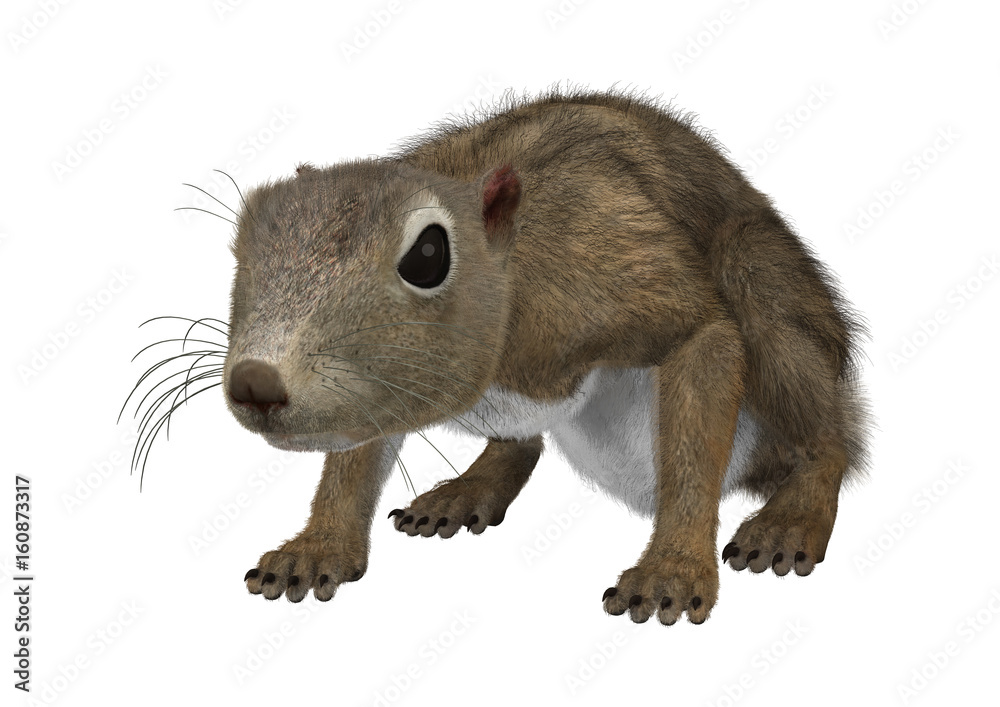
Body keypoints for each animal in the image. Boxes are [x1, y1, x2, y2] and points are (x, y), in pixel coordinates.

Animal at [218, 87, 872, 625]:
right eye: (243, 243)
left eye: (428, 255)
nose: (255, 382)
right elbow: (354, 457)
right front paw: (317, 549)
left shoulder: (611, 266)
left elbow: (701, 365)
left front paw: (672, 571)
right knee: (522, 443)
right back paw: (467, 490)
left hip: (768, 299)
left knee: (827, 439)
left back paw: (791, 519)